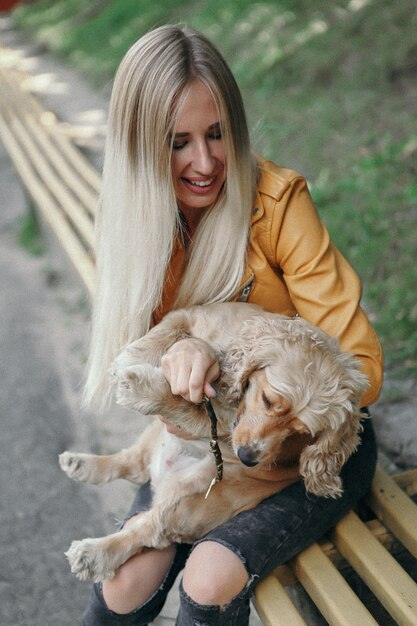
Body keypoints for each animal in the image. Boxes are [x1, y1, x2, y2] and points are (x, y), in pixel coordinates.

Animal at [59, 302, 368, 580]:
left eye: (302, 432)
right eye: (269, 400)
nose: (248, 459)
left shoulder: (221, 427)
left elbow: (189, 408)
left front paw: (140, 388)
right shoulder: (190, 314)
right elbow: (165, 330)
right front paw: (127, 358)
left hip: (191, 491)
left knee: (148, 529)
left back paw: (93, 554)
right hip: (157, 435)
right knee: (133, 462)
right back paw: (81, 464)